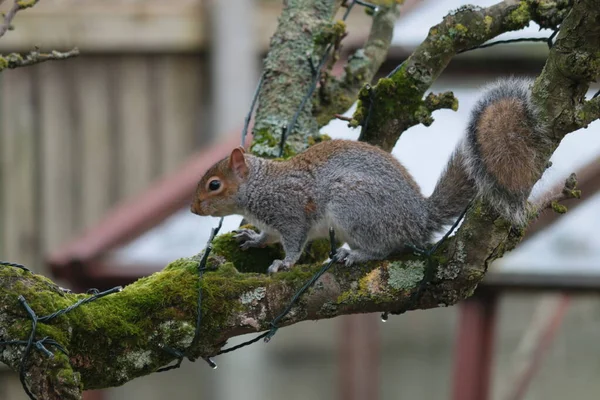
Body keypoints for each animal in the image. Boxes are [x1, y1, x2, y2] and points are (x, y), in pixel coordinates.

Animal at [192, 77, 548, 272]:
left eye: (214, 185)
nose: (194, 208)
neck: (259, 186)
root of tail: (419, 218)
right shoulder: (272, 222)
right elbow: (268, 236)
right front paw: (252, 239)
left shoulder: (290, 211)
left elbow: (293, 242)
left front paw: (284, 263)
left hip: (354, 205)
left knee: (385, 248)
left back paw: (356, 254)